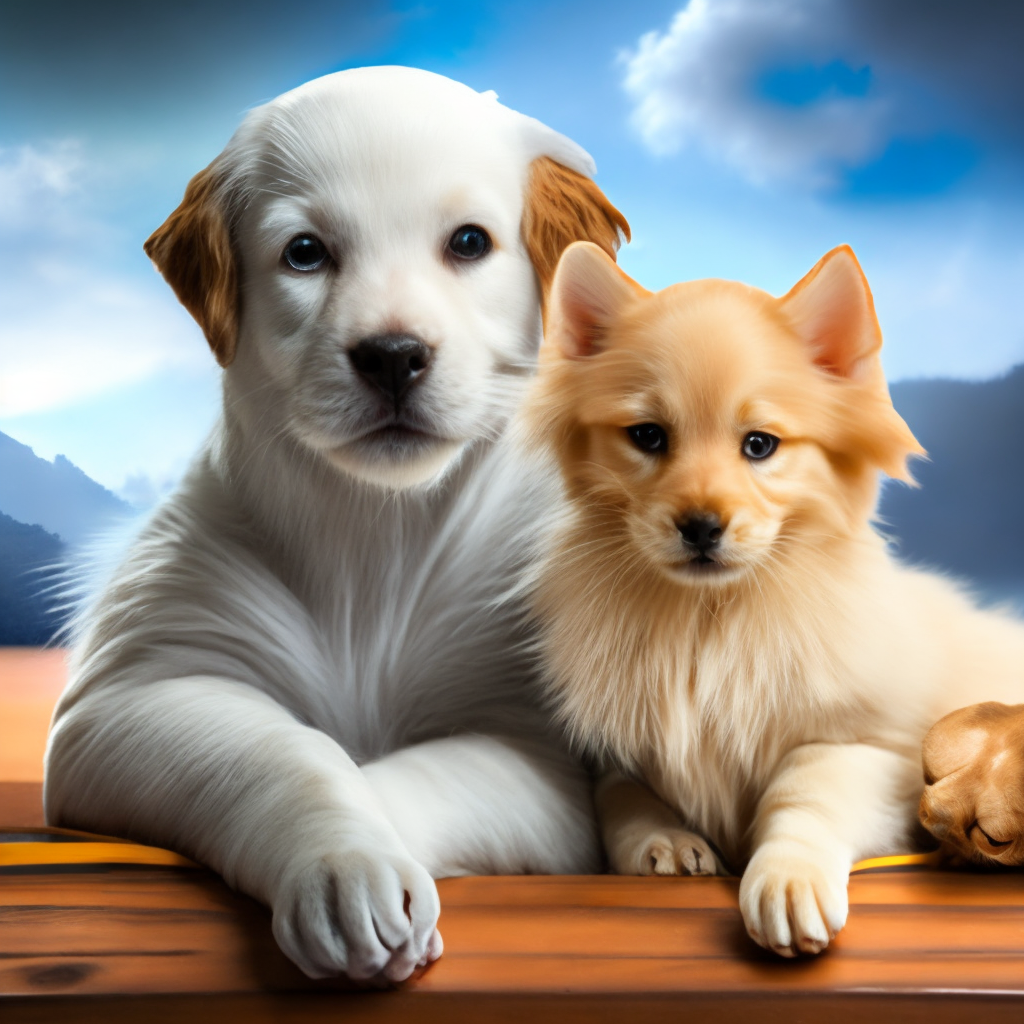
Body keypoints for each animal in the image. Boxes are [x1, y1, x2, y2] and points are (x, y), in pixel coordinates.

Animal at [44, 66, 626, 983]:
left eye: (469, 243)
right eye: (306, 253)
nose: (392, 356)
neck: (372, 538)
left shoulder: (531, 741)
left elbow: (404, 775)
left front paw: (367, 861)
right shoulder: (135, 696)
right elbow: (289, 754)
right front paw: (342, 860)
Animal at [524, 241, 1024, 958]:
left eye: (760, 445)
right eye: (647, 436)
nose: (701, 526)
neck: (708, 624)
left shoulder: (877, 756)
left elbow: (803, 792)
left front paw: (788, 879)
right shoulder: (618, 757)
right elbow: (623, 800)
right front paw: (665, 841)